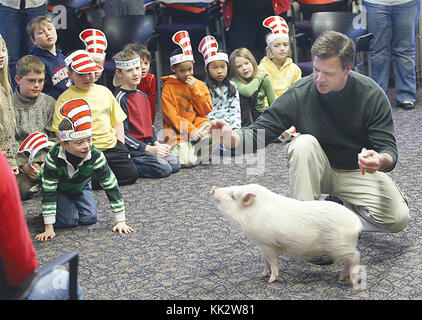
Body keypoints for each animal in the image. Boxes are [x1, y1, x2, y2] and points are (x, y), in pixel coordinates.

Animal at [211, 184, 362, 284]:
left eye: (232, 195)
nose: (213, 188)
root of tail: (357, 225)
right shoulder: (262, 244)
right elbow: (266, 260)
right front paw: (262, 275)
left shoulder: (268, 243)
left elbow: (273, 261)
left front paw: (270, 280)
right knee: (348, 261)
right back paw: (342, 278)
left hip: (340, 246)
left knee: (355, 256)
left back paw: (352, 281)